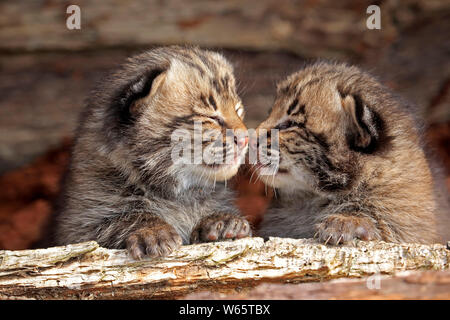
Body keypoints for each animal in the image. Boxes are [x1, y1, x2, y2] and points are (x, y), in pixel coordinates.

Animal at [54, 46, 251, 258]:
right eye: (210, 117)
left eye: (238, 110)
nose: (246, 138)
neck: (178, 193)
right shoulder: (78, 224)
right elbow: (119, 219)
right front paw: (152, 231)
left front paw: (221, 221)